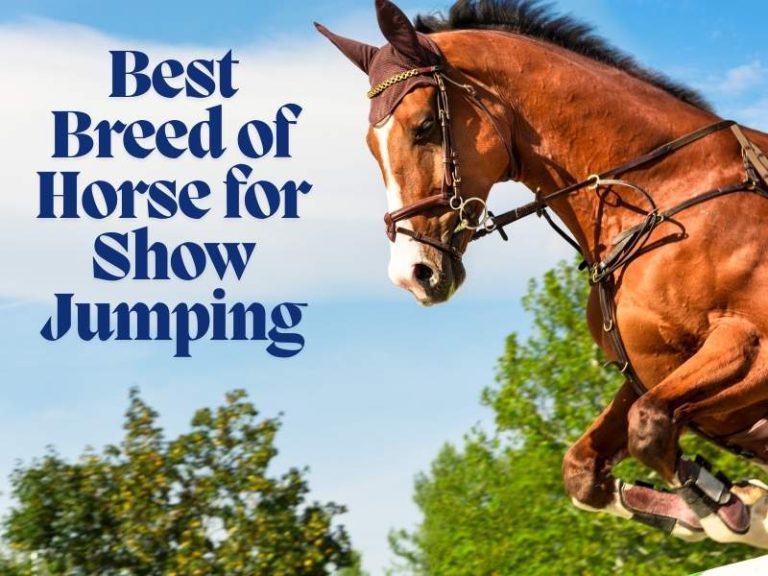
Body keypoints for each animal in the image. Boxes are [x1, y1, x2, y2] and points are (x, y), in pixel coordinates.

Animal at [317, 0, 768, 547]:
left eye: (424, 126)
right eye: (370, 144)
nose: (412, 274)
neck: (663, 190)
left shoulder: (751, 345)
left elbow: (648, 426)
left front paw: (736, 510)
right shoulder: (649, 373)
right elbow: (587, 467)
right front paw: (719, 508)